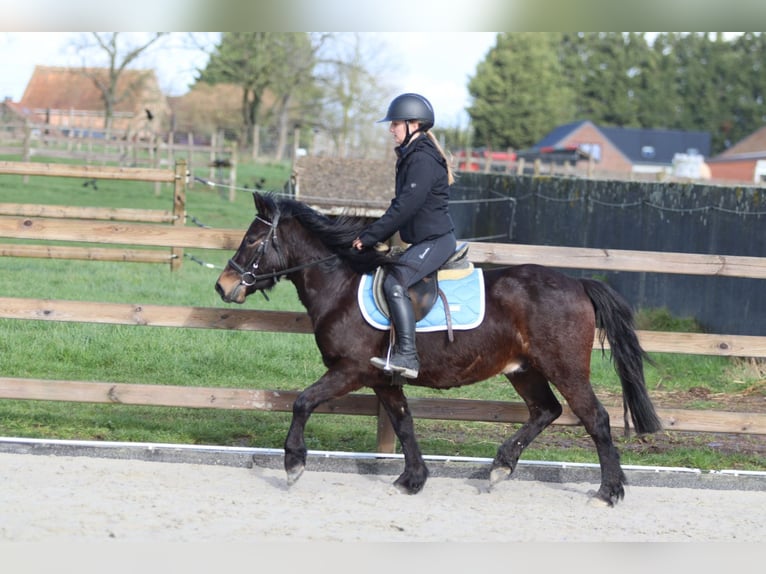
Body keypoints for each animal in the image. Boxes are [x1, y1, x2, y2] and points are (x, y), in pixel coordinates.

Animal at [215, 192, 662, 507]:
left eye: (253, 239)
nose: (222, 286)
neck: (340, 287)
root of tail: (578, 284)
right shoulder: (383, 378)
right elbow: (403, 423)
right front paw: (411, 480)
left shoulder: (351, 370)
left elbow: (303, 402)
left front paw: (293, 464)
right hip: (524, 370)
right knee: (546, 411)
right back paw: (501, 467)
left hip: (564, 368)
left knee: (596, 419)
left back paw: (608, 492)